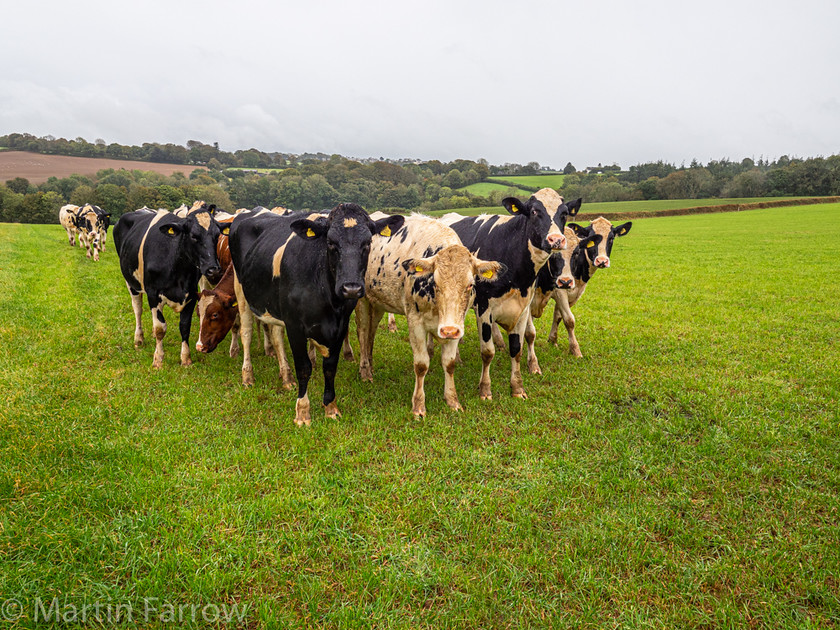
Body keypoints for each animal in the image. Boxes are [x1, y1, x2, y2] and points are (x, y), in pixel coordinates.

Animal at [113, 202, 223, 370]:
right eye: (193, 236)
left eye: (217, 235)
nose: (213, 269)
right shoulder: (153, 293)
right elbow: (160, 328)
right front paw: (158, 359)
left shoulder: (191, 294)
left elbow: (184, 326)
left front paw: (186, 358)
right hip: (131, 282)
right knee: (137, 309)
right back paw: (139, 339)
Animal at [228, 205, 402, 428]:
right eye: (330, 242)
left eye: (368, 242)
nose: (351, 288)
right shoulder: (295, 326)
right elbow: (304, 367)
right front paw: (303, 412)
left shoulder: (340, 325)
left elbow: (330, 367)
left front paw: (331, 407)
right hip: (241, 290)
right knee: (247, 333)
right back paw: (248, 376)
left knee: (276, 336)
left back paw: (286, 378)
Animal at [436, 188, 580, 402]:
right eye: (534, 211)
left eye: (564, 213)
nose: (556, 240)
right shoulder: (484, 307)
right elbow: (487, 352)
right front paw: (485, 389)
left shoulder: (522, 308)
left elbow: (517, 348)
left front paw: (517, 388)